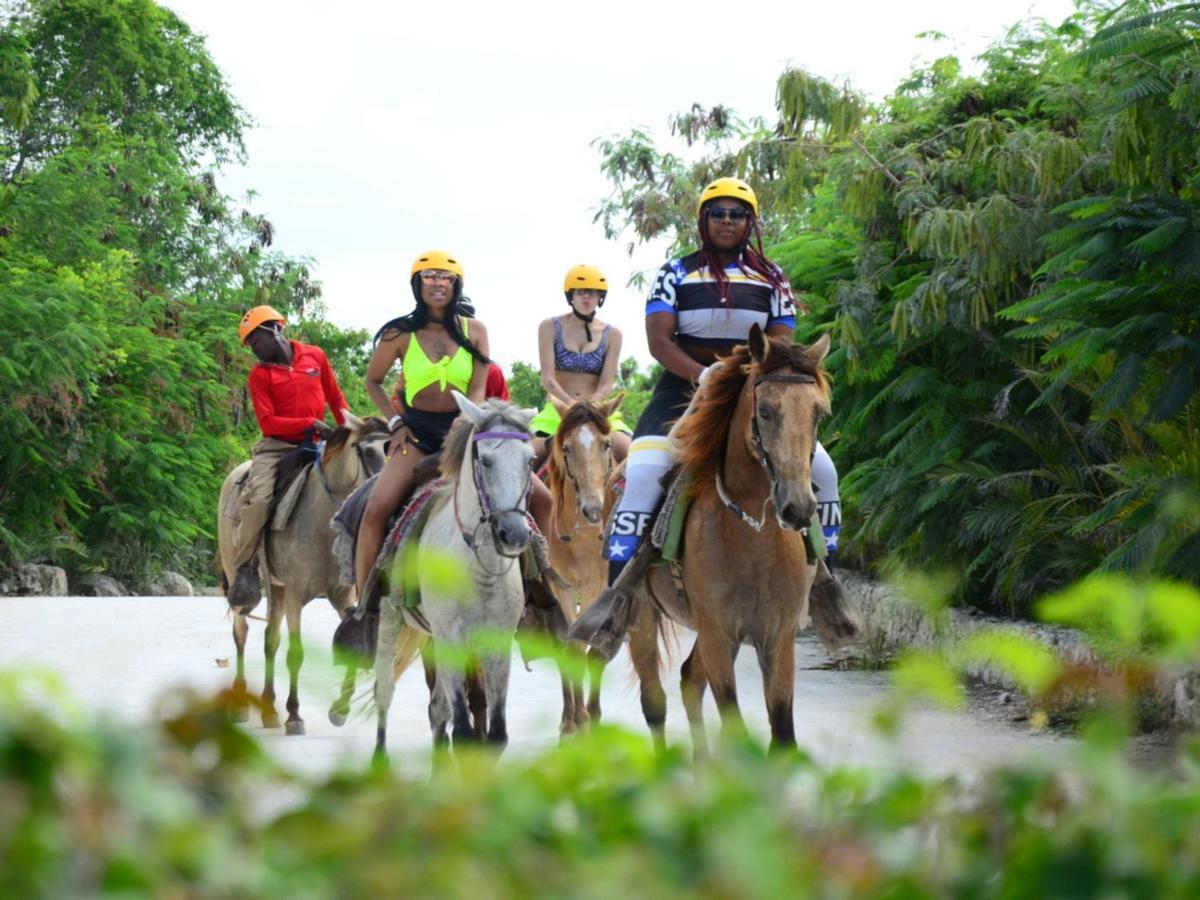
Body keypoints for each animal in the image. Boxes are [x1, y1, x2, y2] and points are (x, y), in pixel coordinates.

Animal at [213, 415, 386, 739]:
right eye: (367, 451)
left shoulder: (343, 595)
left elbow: (352, 644)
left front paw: (339, 710)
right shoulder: (296, 595)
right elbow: (296, 653)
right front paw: (295, 715)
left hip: (277, 588)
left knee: (270, 639)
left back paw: (269, 708)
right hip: (242, 578)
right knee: (242, 633)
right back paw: (241, 704)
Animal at [367, 391, 532, 763]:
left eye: (529, 461)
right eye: (485, 461)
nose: (514, 534)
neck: (479, 571)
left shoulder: (497, 643)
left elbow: (495, 735)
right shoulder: (452, 640)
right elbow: (465, 734)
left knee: (437, 708)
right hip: (390, 618)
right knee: (385, 689)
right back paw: (379, 759)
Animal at [624, 328, 840, 758]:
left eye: (818, 414)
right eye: (766, 411)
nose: (798, 507)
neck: (753, 534)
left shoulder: (776, 637)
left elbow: (782, 737)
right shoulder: (719, 635)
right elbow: (737, 731)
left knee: (690, 680)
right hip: (646, 615)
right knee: (654, 700)